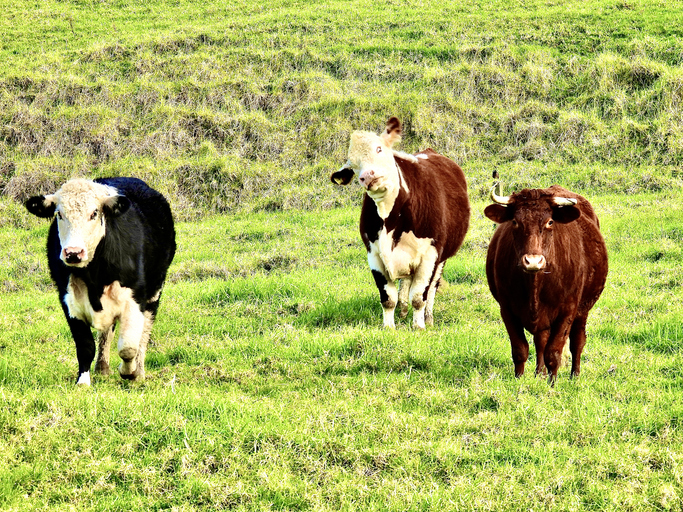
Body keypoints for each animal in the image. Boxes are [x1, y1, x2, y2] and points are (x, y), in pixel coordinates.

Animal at [25, 177, 176, 386]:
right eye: (59, 214)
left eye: (94, 213)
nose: (73, 253)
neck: (94, 277)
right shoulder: (69, 300)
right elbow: (85, 345)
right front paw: (83, 382)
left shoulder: (136, 297)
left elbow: (128, 347)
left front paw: (129, 372)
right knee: (107, 332)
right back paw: (102, 368)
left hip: (155, 291)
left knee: (144, 331)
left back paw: (139, 371)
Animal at [330, 117, 470, 329]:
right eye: (353, 165)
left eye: (379, 149)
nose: (367, 176)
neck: (389, 217)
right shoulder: (374, 254)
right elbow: (388, 298)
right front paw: (389, 327)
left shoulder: (431, 254)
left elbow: (419, 296)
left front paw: (419, 326)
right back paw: (403, 310)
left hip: (443, 256)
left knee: (432, 287)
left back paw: (428, 318)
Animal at [484, 184, 608, 383]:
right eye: (515, 222)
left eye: (550, 222)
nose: (533, 261)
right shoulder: (507, 309)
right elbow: (520, 349)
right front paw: (519, 380)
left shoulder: (567, 311)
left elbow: (554, 352)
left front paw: (552, 384)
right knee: (540, 340)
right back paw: (539, 373)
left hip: (583, 310)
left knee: (577, 341)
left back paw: (574, 376)